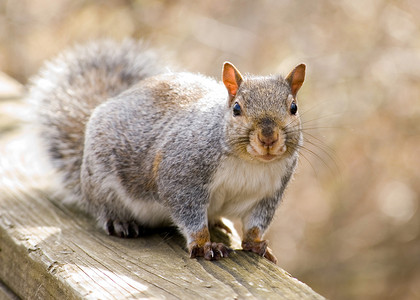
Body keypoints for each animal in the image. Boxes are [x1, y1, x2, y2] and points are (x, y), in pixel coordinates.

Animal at [29, 39, 306, 262]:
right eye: (236, 108)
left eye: (293, 107)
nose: (268, 138)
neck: (250, 162)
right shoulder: (181, 175)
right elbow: (189, 213)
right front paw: (205, 245)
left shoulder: (268, 194)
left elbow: (256, 224)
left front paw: (256, 244)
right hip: (101, 182)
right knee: (104, 206)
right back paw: (120, 221)